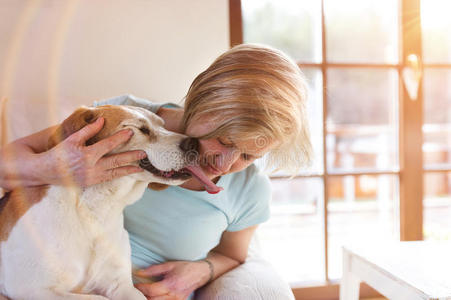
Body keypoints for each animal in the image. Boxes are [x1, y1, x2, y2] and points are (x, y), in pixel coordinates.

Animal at [0, 104, 221, 298]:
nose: (195, 143)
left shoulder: (120, 285)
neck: (96, 210)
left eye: (163, 125)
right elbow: (97, 298)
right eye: (141, 129)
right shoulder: (32, 289)